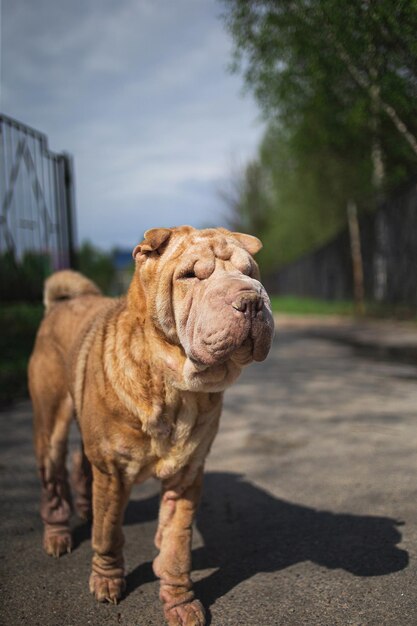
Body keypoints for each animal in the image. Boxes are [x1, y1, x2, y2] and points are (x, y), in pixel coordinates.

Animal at [27, 225, 272, 624]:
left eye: (250, 272)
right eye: (190, 275)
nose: (252, 300)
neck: (174, 388)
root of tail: (61, 303)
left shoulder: (187, 473)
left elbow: (176, 545)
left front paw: (180, 602)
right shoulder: (113, 471)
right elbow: (108, 532)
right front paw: (107, 580)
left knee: (80, 464)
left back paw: (85, 508)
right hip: (50, 424)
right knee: (53, 477)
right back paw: (58, 533)